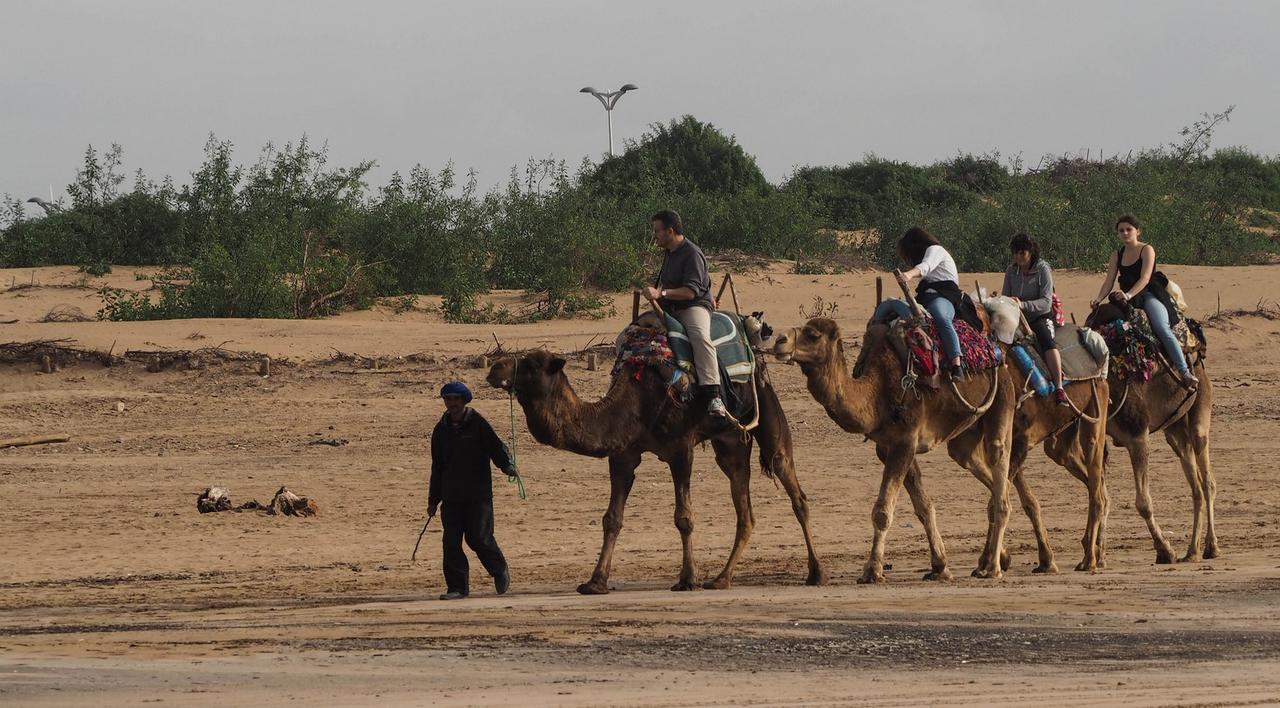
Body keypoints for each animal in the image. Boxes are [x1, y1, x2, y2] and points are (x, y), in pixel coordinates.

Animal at [483, 345, 824, 594]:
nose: (494, 368)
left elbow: (684, 518)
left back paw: (816, 573)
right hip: (729, 441)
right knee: (745, 509)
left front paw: (687, 579)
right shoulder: (623, 455)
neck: (632, 407)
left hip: (765, 404)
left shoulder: (681, 449)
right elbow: (612, 519)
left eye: (531, 365)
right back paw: (721, 578)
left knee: (793, 486)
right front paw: (595, 582)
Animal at [768, 317, 1018, 581]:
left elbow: (882, 512)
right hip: (965, 437)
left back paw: (993, 567)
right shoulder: (886, 447)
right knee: (986, 473)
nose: (780, 340)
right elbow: (923, 506)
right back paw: (991, 559)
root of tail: (998, 357)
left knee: (999, 462)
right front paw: (940, 566)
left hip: (1002, 399)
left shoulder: (905, 441)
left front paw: (872, 570)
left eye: (814, 335)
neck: (876, 394)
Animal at [1090, 303, 1218, 563]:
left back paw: (1211, 547)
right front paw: (1097, 555)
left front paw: (1164, 550)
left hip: (1201, 404)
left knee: (1207, 480)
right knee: (1196, 485)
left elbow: (1143, 503)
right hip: (1175, 430)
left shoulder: (1138, 436)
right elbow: (1103, 496)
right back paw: (1192, 551)